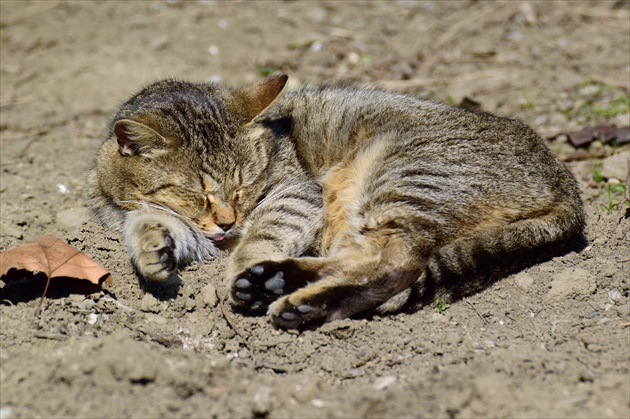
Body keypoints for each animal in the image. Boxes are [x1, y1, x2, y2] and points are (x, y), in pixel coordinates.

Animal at [89, 76, 588, 332]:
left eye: (244, 186)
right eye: (198, 192)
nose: (228, 222)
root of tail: (568, 183)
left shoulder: (295, 193)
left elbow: (264, 230)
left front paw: (239, 267)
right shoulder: (185, 225)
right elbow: (149, 220)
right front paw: (152, 249)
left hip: (399, 178)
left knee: (395, 263)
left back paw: (295, 301)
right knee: (360, 258)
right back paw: (275, 282)